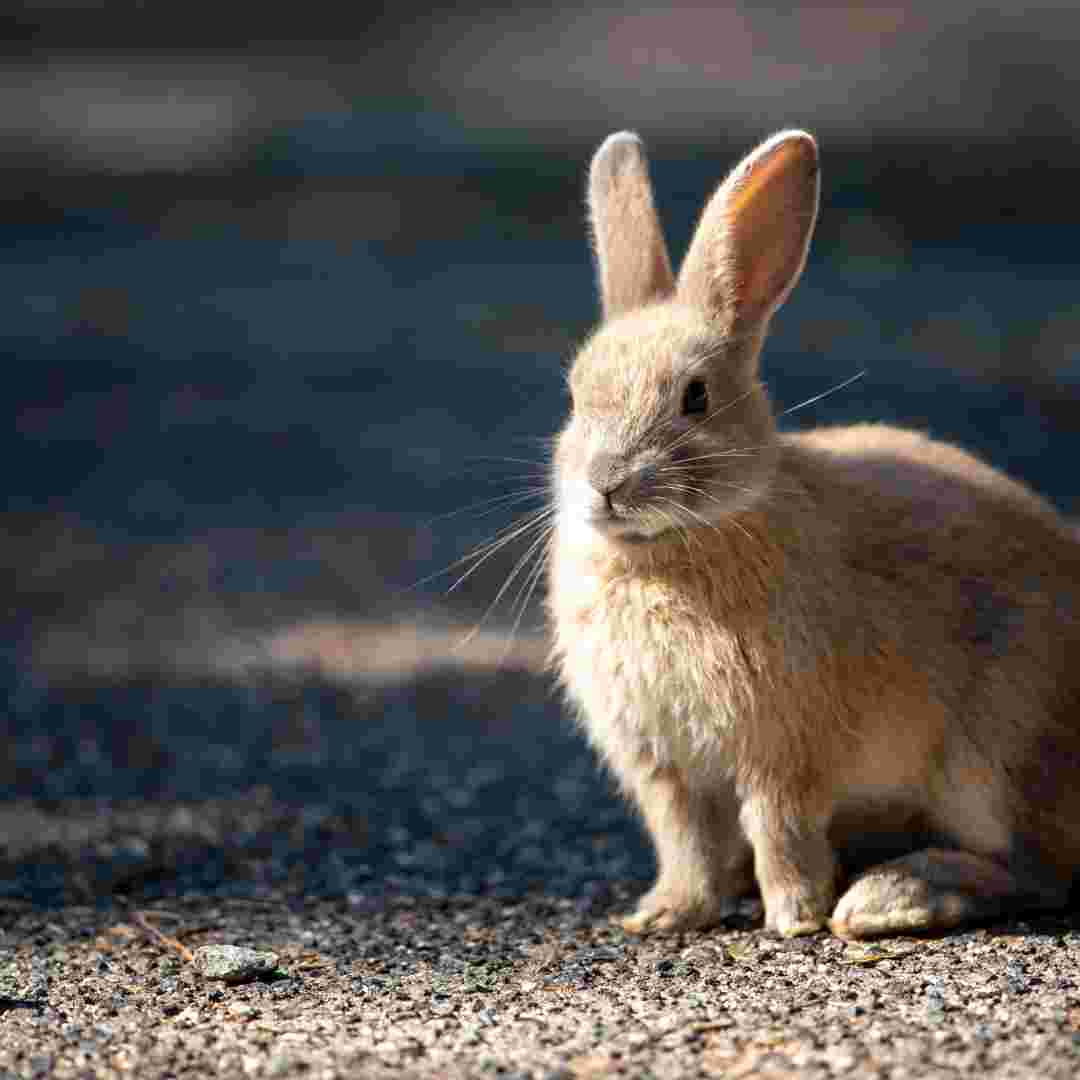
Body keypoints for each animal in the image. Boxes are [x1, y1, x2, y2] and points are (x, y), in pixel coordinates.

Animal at [548, 128, 1080, 937]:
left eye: (695, 398)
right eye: (576, 396)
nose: (606, 483)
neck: (664, 551)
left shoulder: (786, 750)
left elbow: (780, 829)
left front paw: (794, 918)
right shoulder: (664, 769)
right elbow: (685, 841)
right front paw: (666, 914)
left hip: (1000, 755)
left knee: (1037, 869)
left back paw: (887, 898)